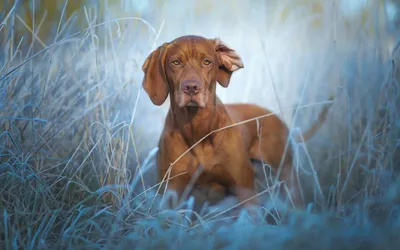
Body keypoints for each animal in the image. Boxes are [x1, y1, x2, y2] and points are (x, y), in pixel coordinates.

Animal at [141, 34, 332, 211]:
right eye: (175, 62)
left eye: (207, 62)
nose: (191, 88)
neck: (197, 128)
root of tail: (278, 119)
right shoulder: (171, 190)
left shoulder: (245, 188)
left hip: (286, 177)